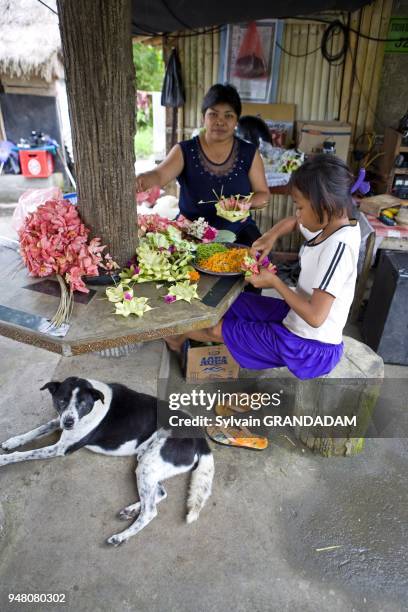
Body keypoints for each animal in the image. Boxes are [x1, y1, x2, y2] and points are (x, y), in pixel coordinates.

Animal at [0, 378, 215, 544]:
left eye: (81, 404)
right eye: (61, 400)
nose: (69, 423)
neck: (94, 404)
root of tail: (199, 436)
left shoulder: (60, 448)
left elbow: (23, 454)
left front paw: (4, 458)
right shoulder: (58, 421)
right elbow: (37, 430)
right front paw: (13, 441)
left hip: (148, 466)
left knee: (150, 511)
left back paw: (121, 536)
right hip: (146, 462)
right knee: (160, 493)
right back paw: (131, 510)